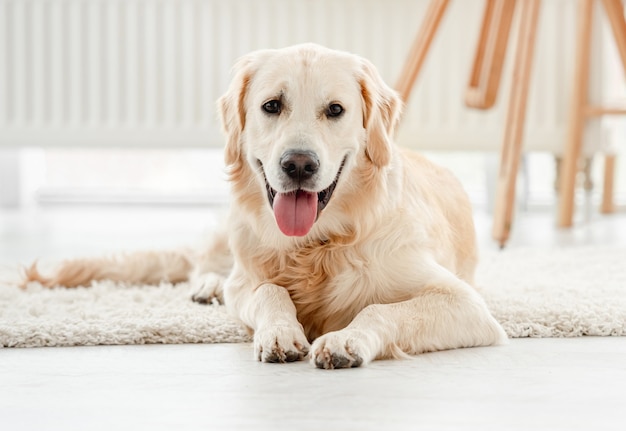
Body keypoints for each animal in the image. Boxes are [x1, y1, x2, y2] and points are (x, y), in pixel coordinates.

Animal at [24, 43, 504, 368]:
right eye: (272, 105)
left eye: (335, 110)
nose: (298, 164)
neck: (317, 246)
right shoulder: (249, 281)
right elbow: (268, 290)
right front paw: (280, 332)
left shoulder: (466, 304)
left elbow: (380, 308)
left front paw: (346, 340)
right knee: (207, 267)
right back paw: (207, 287)